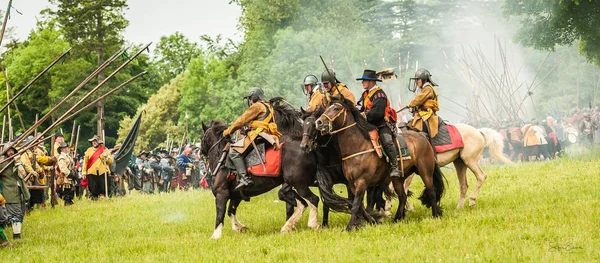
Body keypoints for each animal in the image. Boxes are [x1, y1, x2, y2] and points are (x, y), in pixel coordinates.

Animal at [310, 99, 446, 231]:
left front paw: (350, 227)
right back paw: (397, 219)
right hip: (398, 178)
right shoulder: (352, 184)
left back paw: (434, 215)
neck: (358, 146)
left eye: (336, 108)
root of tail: (423, 137)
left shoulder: (362, 182)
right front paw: (372, 220)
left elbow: (356, 205)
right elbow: (359, 206)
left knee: (431, 191)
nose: (319, 122)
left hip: (425, 171)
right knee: (402, 196)